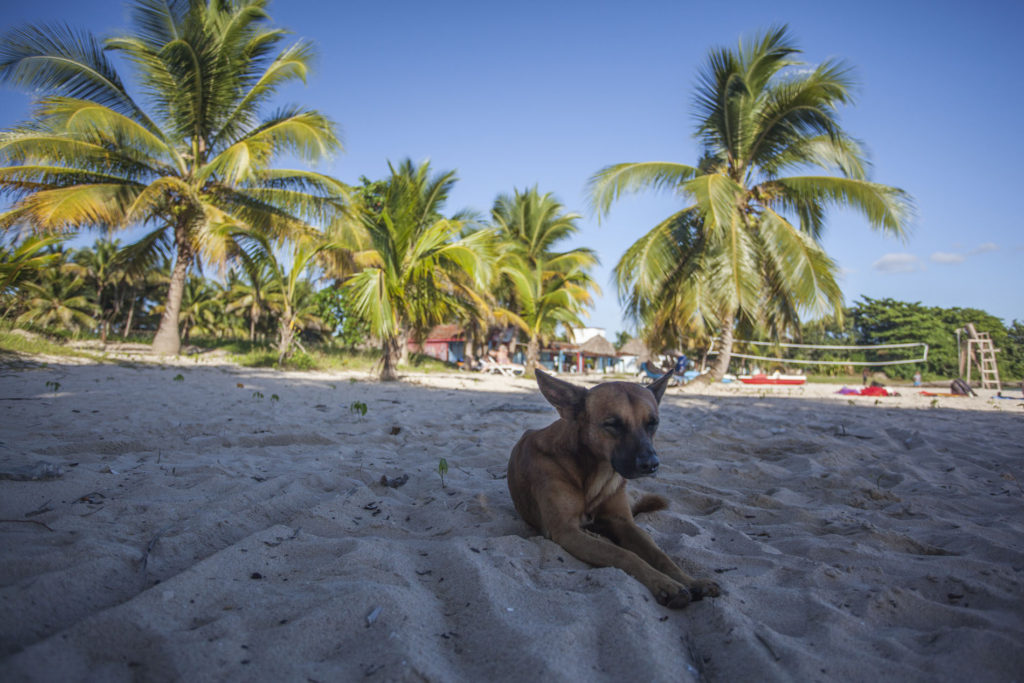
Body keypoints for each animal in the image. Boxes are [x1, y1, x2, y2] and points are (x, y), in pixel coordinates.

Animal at [505, 368, 720, 610]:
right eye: (613, 424)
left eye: (652, 423)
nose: (651, 464)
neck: (593, 474)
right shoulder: (566, 531)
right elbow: (624, 555)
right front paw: (665, 584)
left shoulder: (624, 523)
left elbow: (661, 555)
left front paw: (690, 580)